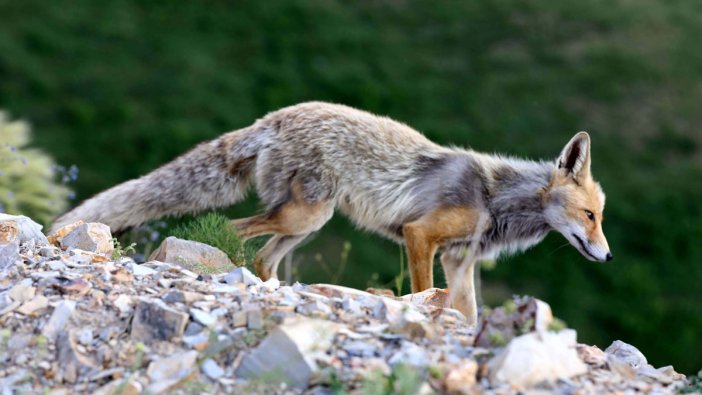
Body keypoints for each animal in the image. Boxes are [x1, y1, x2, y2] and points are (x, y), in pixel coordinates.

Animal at [51, 101, 612, 324]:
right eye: (590, 216)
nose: (606, 257)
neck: (493, 195)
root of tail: (274, 117)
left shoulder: (459, 261)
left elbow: (467, 312)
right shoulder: (420, 237)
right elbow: (423, 293)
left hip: (305, 224)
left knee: (264, 258)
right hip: (304, 217)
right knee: (232, 230)